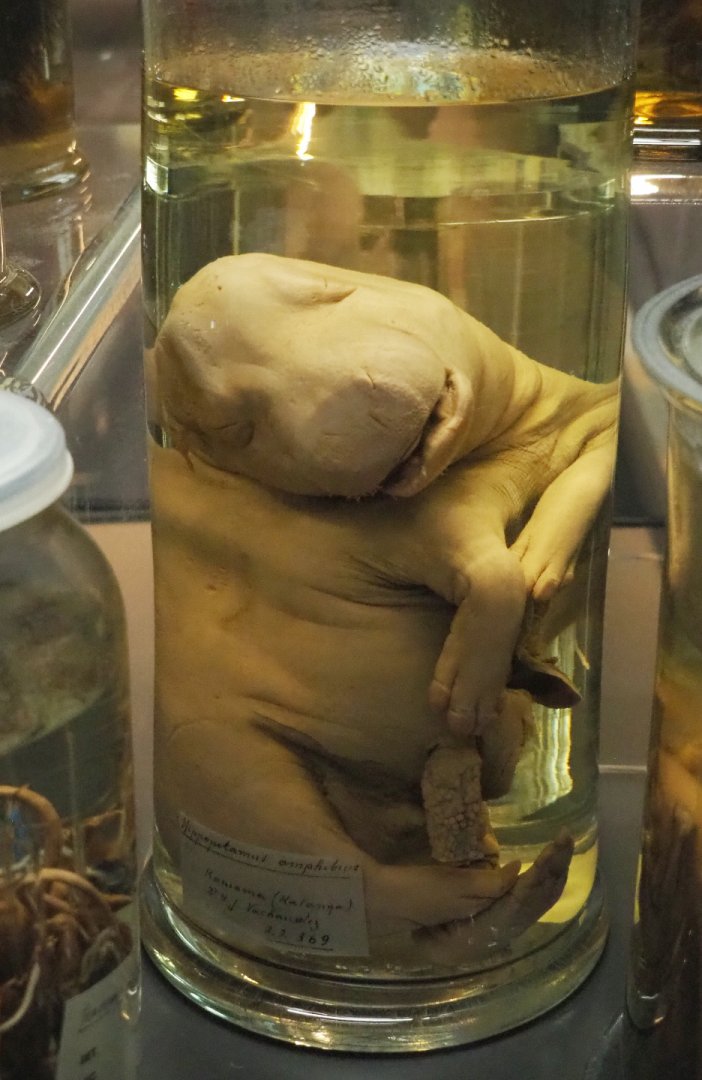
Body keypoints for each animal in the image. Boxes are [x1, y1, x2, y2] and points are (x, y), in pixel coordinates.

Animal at [149, 254, 618, 966]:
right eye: (238, 426)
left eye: (328, 289)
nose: (346, 407)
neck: (500, 451)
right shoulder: (408, 529)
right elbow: (491, 576)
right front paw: (464, 691)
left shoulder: (590, 413)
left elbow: (593, 470)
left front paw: (539, 570)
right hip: (217, 765)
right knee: (374, 890)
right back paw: (500, 873)